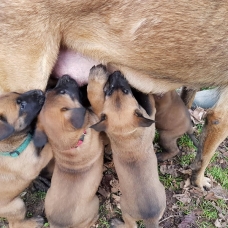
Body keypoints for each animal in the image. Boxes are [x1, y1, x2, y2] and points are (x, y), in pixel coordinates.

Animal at [0, 89, 52, 228]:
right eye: (22, 106)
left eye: (16, 92)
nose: (40, 92)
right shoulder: (34, 165)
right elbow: (49, 149)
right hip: (17, 205)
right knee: (15, 224)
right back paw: (35, 222)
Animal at [33, 75, 103, 228]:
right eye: (63, 92)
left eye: (52, 91)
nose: (65, 76)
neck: (71, 143)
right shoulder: (95, 117)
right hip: (95, 203)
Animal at [87, 64, 166, 228]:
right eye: (110, 89)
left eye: (124, 90)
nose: (116, 73)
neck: (125, 134)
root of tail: (150, 217)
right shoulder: (150, 114)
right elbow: (148, 100)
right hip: (125, 208)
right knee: (131, 225)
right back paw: (117, 223)